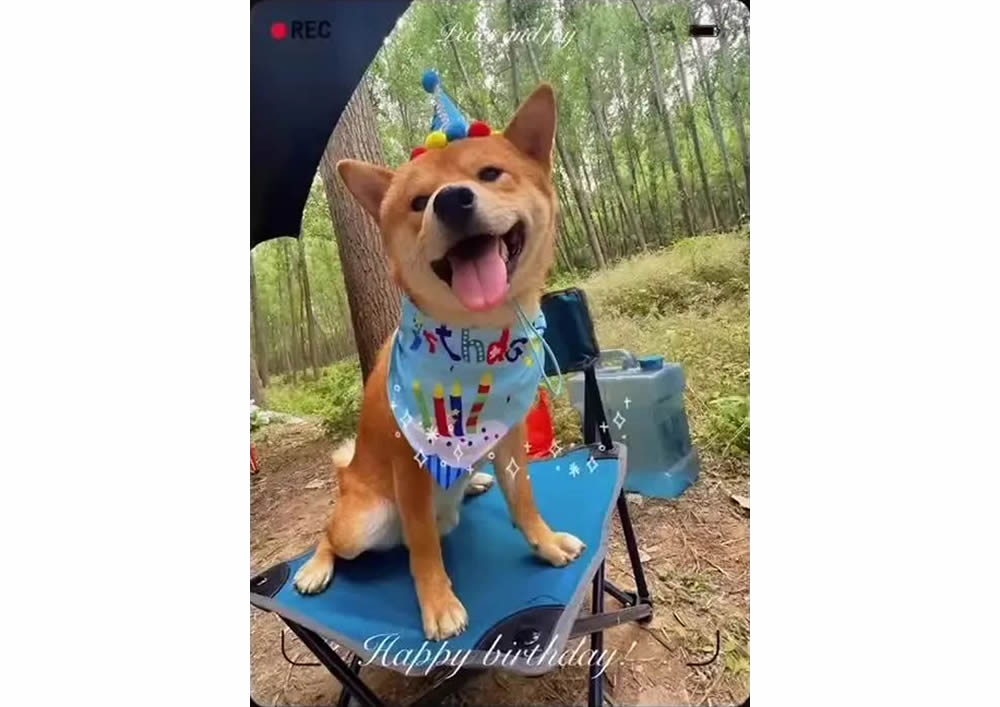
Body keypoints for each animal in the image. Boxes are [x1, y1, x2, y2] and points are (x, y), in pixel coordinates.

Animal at [292, 83, 584, 641]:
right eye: (418, 202)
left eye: (490, 173)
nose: (451, 199)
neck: (480, 341)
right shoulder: (410, 461)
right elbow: (424, 546)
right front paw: (438, 602)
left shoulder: (510, 435)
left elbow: (524, 499)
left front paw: (546, 542)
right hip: (363, 522)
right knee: (330, 534)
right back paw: (316, 567)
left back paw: (474, 480)